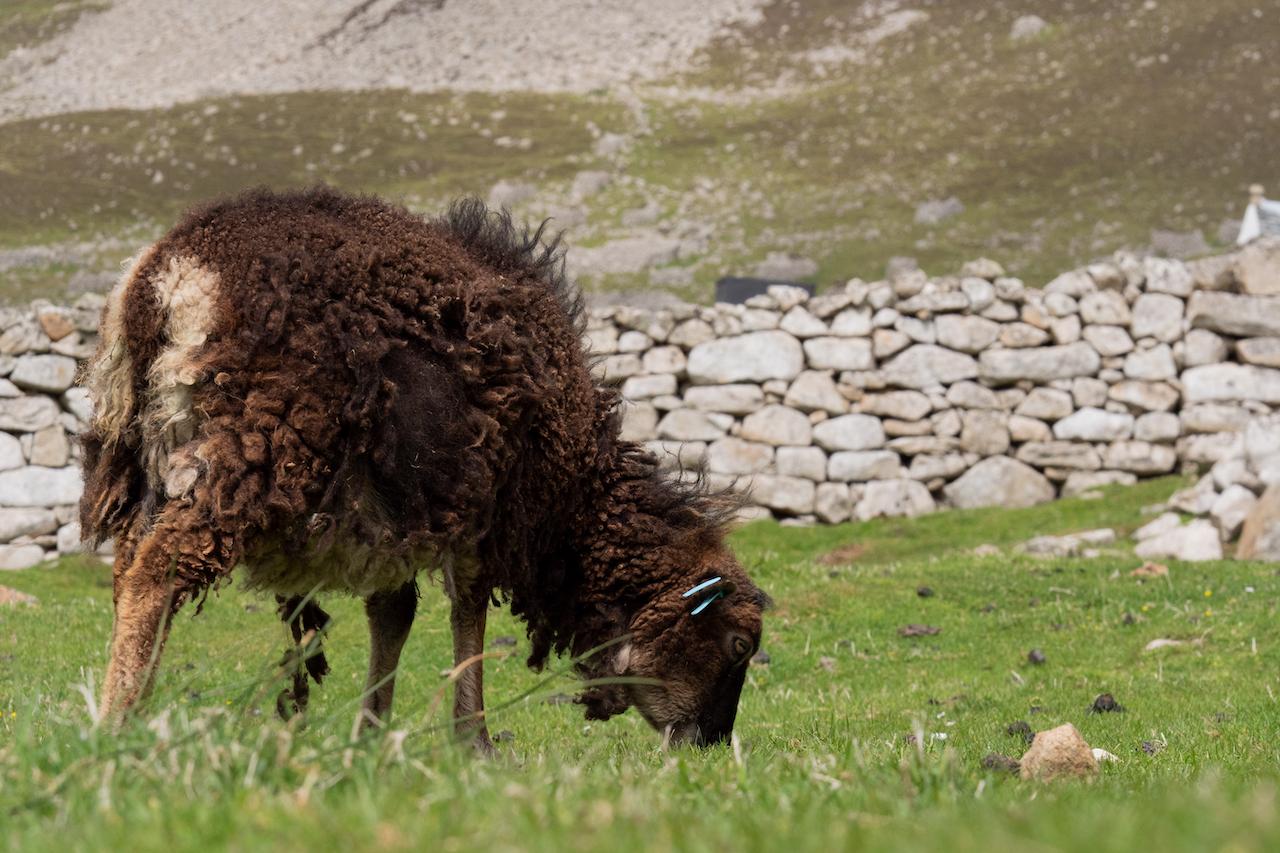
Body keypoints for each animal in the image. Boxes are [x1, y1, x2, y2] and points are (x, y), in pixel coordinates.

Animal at [80, 187, 768, 750]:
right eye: (738, 646)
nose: (707, 746)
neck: (574, 490)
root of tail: (167, 273)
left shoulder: (393, 513)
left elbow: (395, 614)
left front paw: (371, 737)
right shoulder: (486, 511)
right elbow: (468, 616)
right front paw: (475, 743)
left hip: (144, 457)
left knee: (127, 569)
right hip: (263, 444)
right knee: (161, 568)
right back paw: (117, 727)